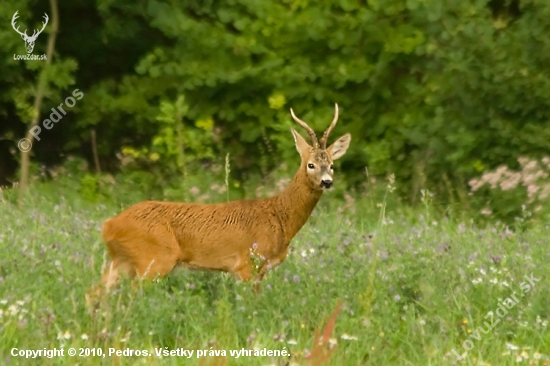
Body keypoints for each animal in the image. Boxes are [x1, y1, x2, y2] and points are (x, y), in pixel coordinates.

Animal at [89, 104, 352, 298]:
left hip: (122, 261)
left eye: (331, 164)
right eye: (311, 164)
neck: (280, 218)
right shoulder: (246, 264)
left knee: (94, 294)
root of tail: (108, 225)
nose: (327, 182)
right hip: (153, 260)